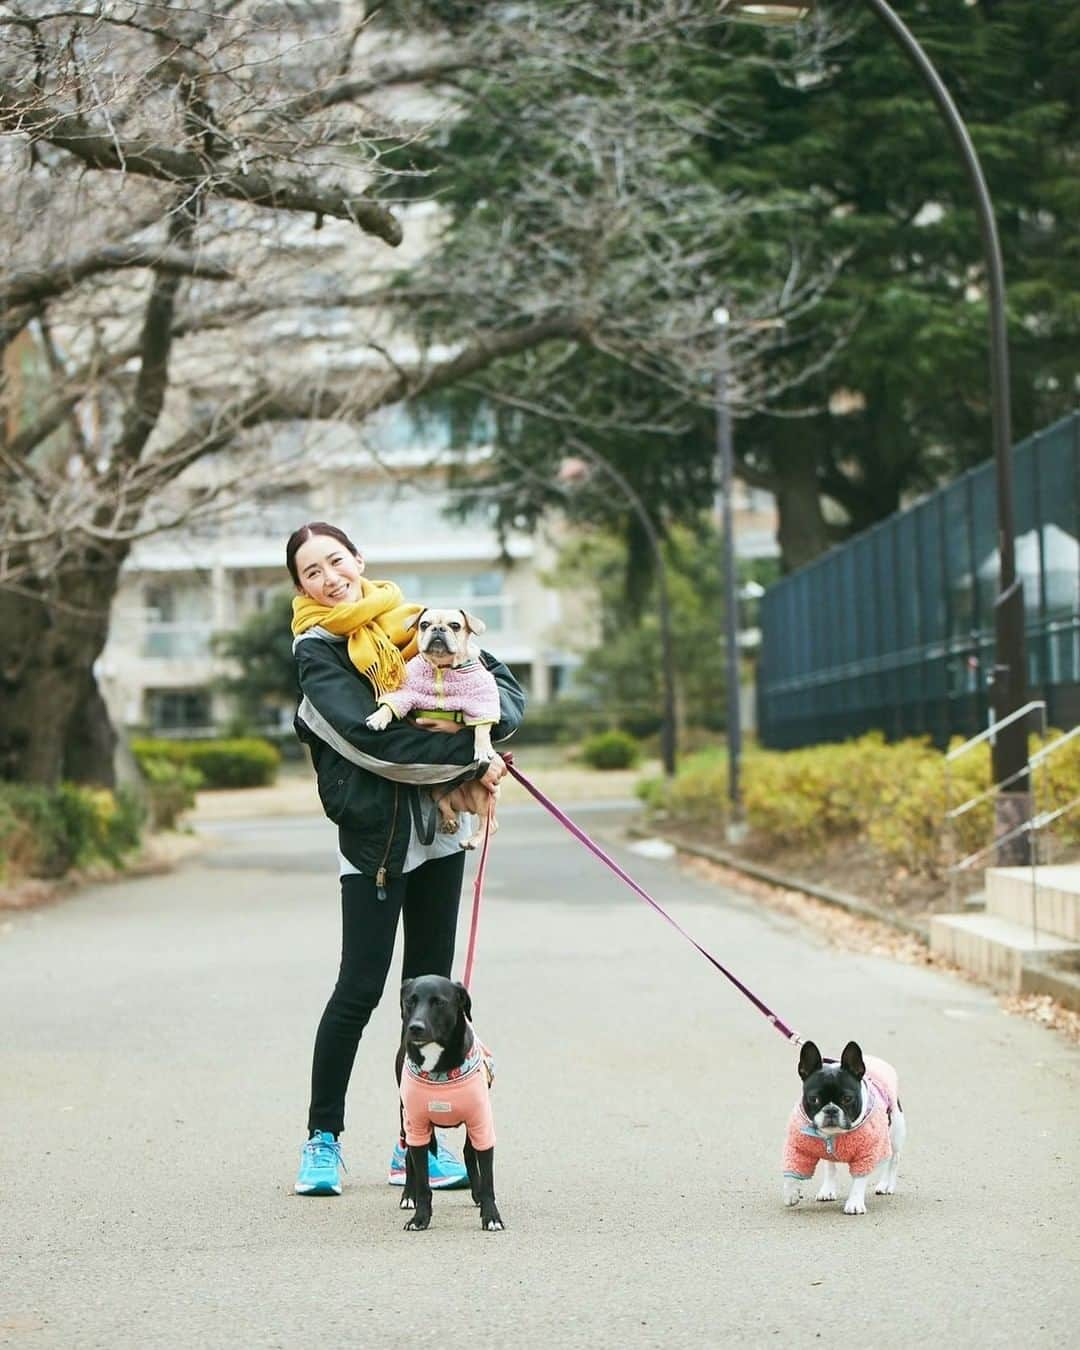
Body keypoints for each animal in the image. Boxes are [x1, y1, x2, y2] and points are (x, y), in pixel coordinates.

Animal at [394, 977, 504, 1231]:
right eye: (410, 1000)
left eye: (439, 1002)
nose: (415, 1027)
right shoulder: (417, 1125)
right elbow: (423, 1182)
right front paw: (420, 1218)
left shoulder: (481, 1123)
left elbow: (488, 1178)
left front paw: (491, 1216)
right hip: (405, 1117)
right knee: (408, 1157)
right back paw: (408, 1196)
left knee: (468, 1152)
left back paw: (477, 1194)